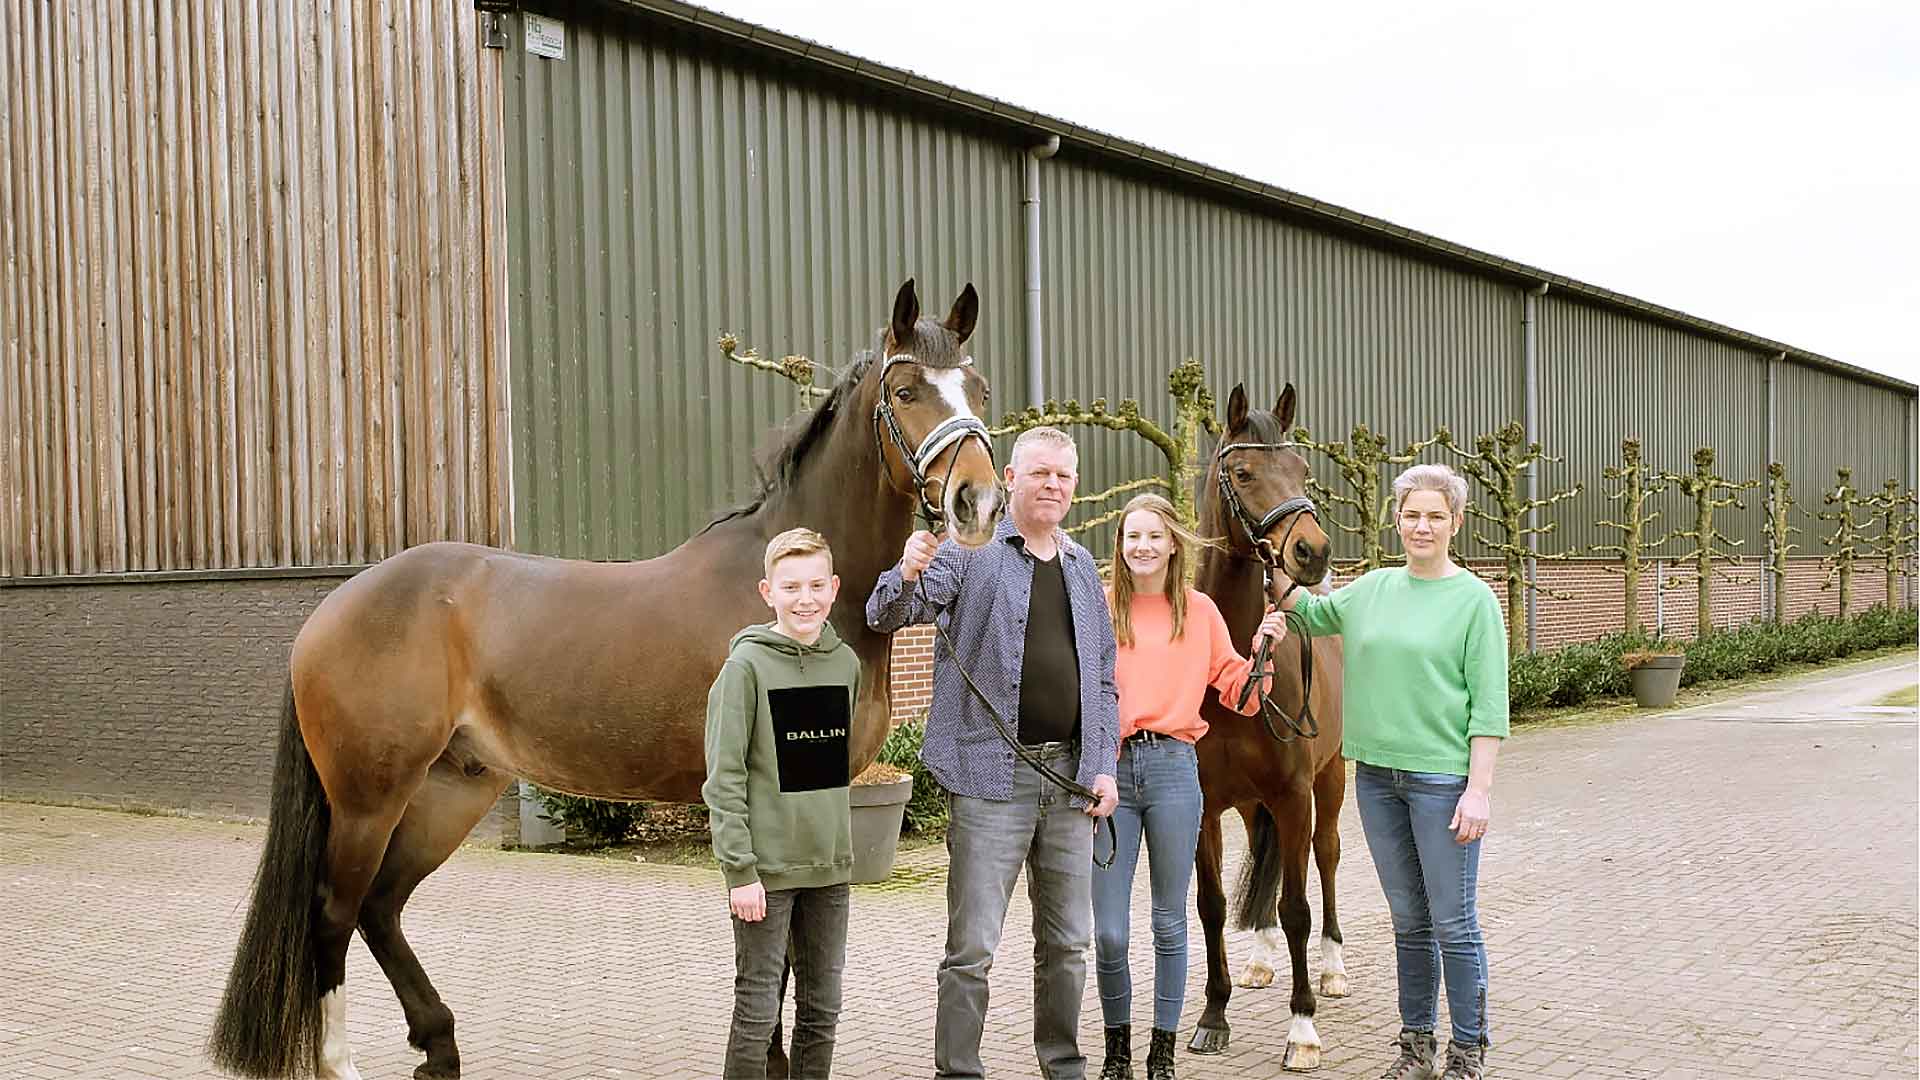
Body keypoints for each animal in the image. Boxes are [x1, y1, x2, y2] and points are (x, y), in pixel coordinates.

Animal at [206, 278, 1006, 1076]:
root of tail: (335, 606)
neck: (794, 601)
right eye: (904, 391)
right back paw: (345, 1059)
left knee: (380, 907)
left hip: (449, 789)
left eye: (980, 391)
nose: (977, 501)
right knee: (333, 913)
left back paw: (439, 1047)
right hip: (369, 798)